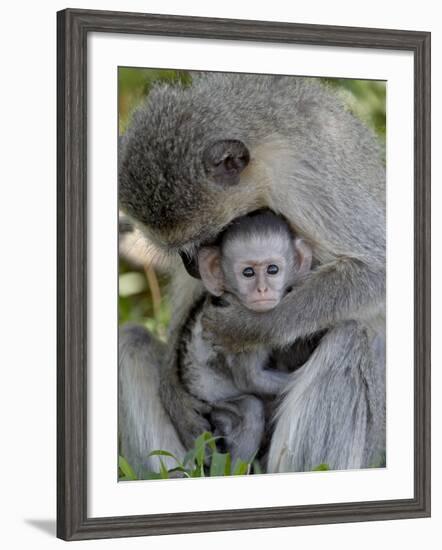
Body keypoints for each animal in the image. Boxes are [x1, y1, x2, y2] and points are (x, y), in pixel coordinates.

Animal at [175, 211, 310, 466]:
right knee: (251, 408)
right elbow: (251, 380)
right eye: (248, 273)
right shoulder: (241, 330)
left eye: (272, 270)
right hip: (213, 402)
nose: (262, 290)